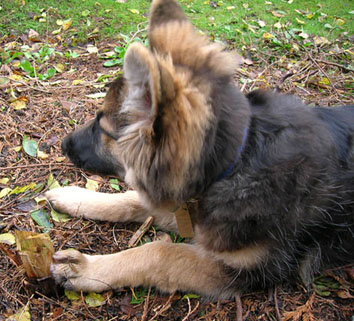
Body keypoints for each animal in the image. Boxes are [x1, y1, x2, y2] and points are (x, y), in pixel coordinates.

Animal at [45, 0, 352, 298]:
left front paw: (86, 269)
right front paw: (75, 196)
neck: (237, 162)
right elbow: (131, 200)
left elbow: (161, 253)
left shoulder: (248, 269)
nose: (62, 144)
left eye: (102, 127)